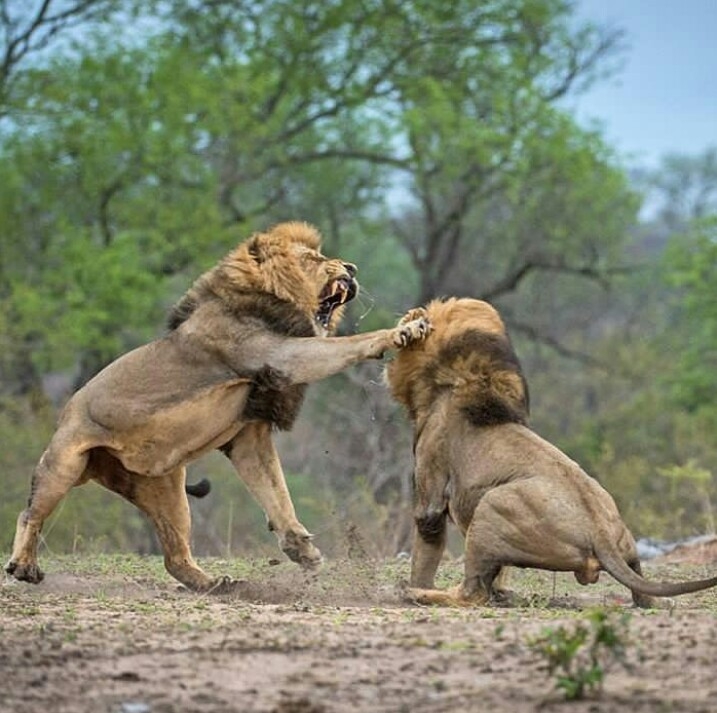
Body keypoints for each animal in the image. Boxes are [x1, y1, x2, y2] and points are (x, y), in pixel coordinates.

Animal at [5, 221, 430, 592]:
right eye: (313, 257)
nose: (352, 268)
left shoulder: (249, 434)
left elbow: (276, 492)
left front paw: (301, 549)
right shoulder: (284, 355)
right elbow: (350, 344)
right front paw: (404, 329)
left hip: (167, 491)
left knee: (174, 557)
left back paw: (214, 585)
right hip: (64, 461)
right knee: (29, 513)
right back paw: (24, 566)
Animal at [385, 297, 717, 608]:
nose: (409, 317)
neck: (455, 380)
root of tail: (602, 534)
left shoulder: (431, 487)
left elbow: (425, 546)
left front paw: (417, 583)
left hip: (492, 505)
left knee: (472, 593)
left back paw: (417, 593)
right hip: (628, 547)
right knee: (643, 596)